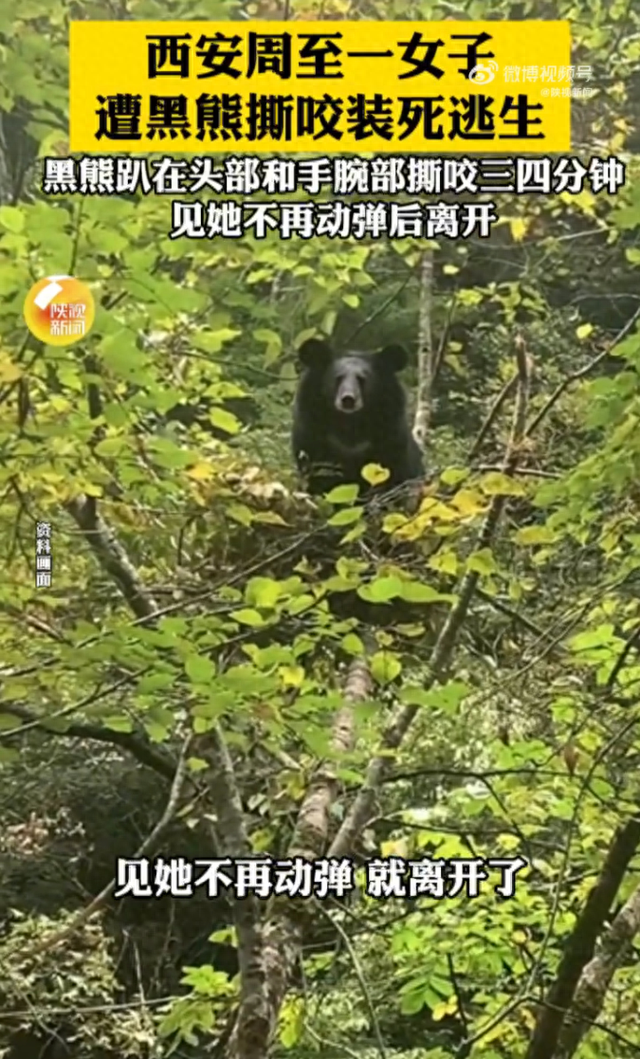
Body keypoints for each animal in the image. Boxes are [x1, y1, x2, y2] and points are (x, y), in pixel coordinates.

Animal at [292, 337, 425, 498]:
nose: (348, 399)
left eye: (362, 379)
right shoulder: (310, 436)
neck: (351, 424)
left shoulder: (391, 438)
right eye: (338, 378)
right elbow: (318, 474)